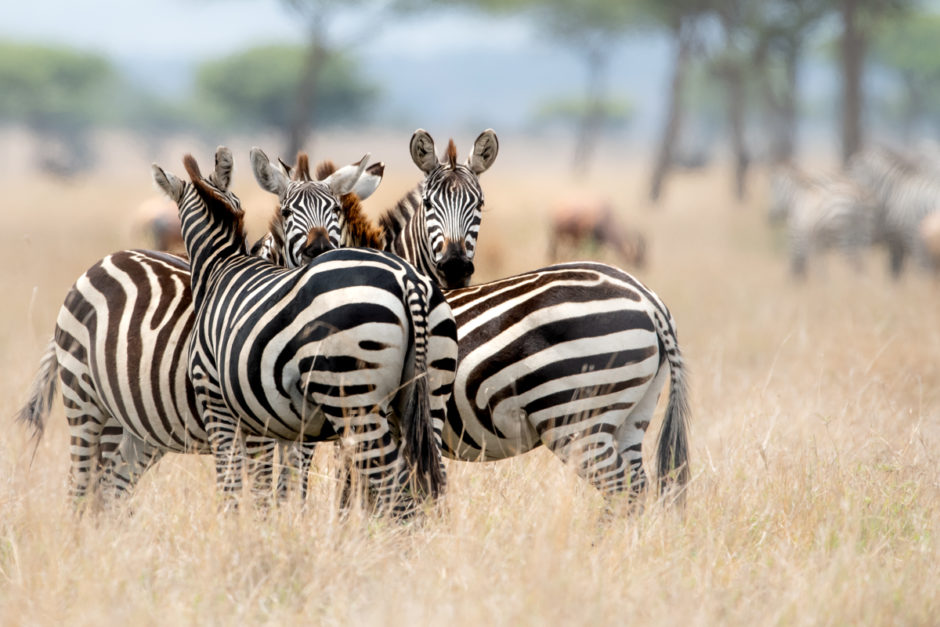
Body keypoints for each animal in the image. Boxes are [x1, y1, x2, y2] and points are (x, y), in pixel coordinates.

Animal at [14, 148, 390, 510]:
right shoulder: (258, 428)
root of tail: (100, 264)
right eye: (285, 212)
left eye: (336, 211)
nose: (319, 250)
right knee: (83, 487)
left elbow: (291, 493)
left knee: (110, 487)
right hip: (91, 404)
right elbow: (263, 494)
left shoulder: (300, 433)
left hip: (141, 422)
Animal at [153, 150, 456, 516]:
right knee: (425, 483)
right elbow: (285, 485)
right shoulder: (285, 424)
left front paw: (239, 525)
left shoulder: (217, 401)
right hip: (429, 394)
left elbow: (236, 484)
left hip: (354, 397)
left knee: (392, 487)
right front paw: (283, 524)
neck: (221, 266)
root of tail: (407, 279)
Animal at [282, 134, 688, 500]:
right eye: (428, 203)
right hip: (632, 413)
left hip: (577, 415)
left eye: (478, 204)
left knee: (624, 490)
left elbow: (351, 490)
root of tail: (648, 300)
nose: (456, 266)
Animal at [844, 147, 940, 278]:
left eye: (851, 174)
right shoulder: (898, 243)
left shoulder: (911, 241)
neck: (893, 195)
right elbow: (896, 272)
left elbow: (915, 272)